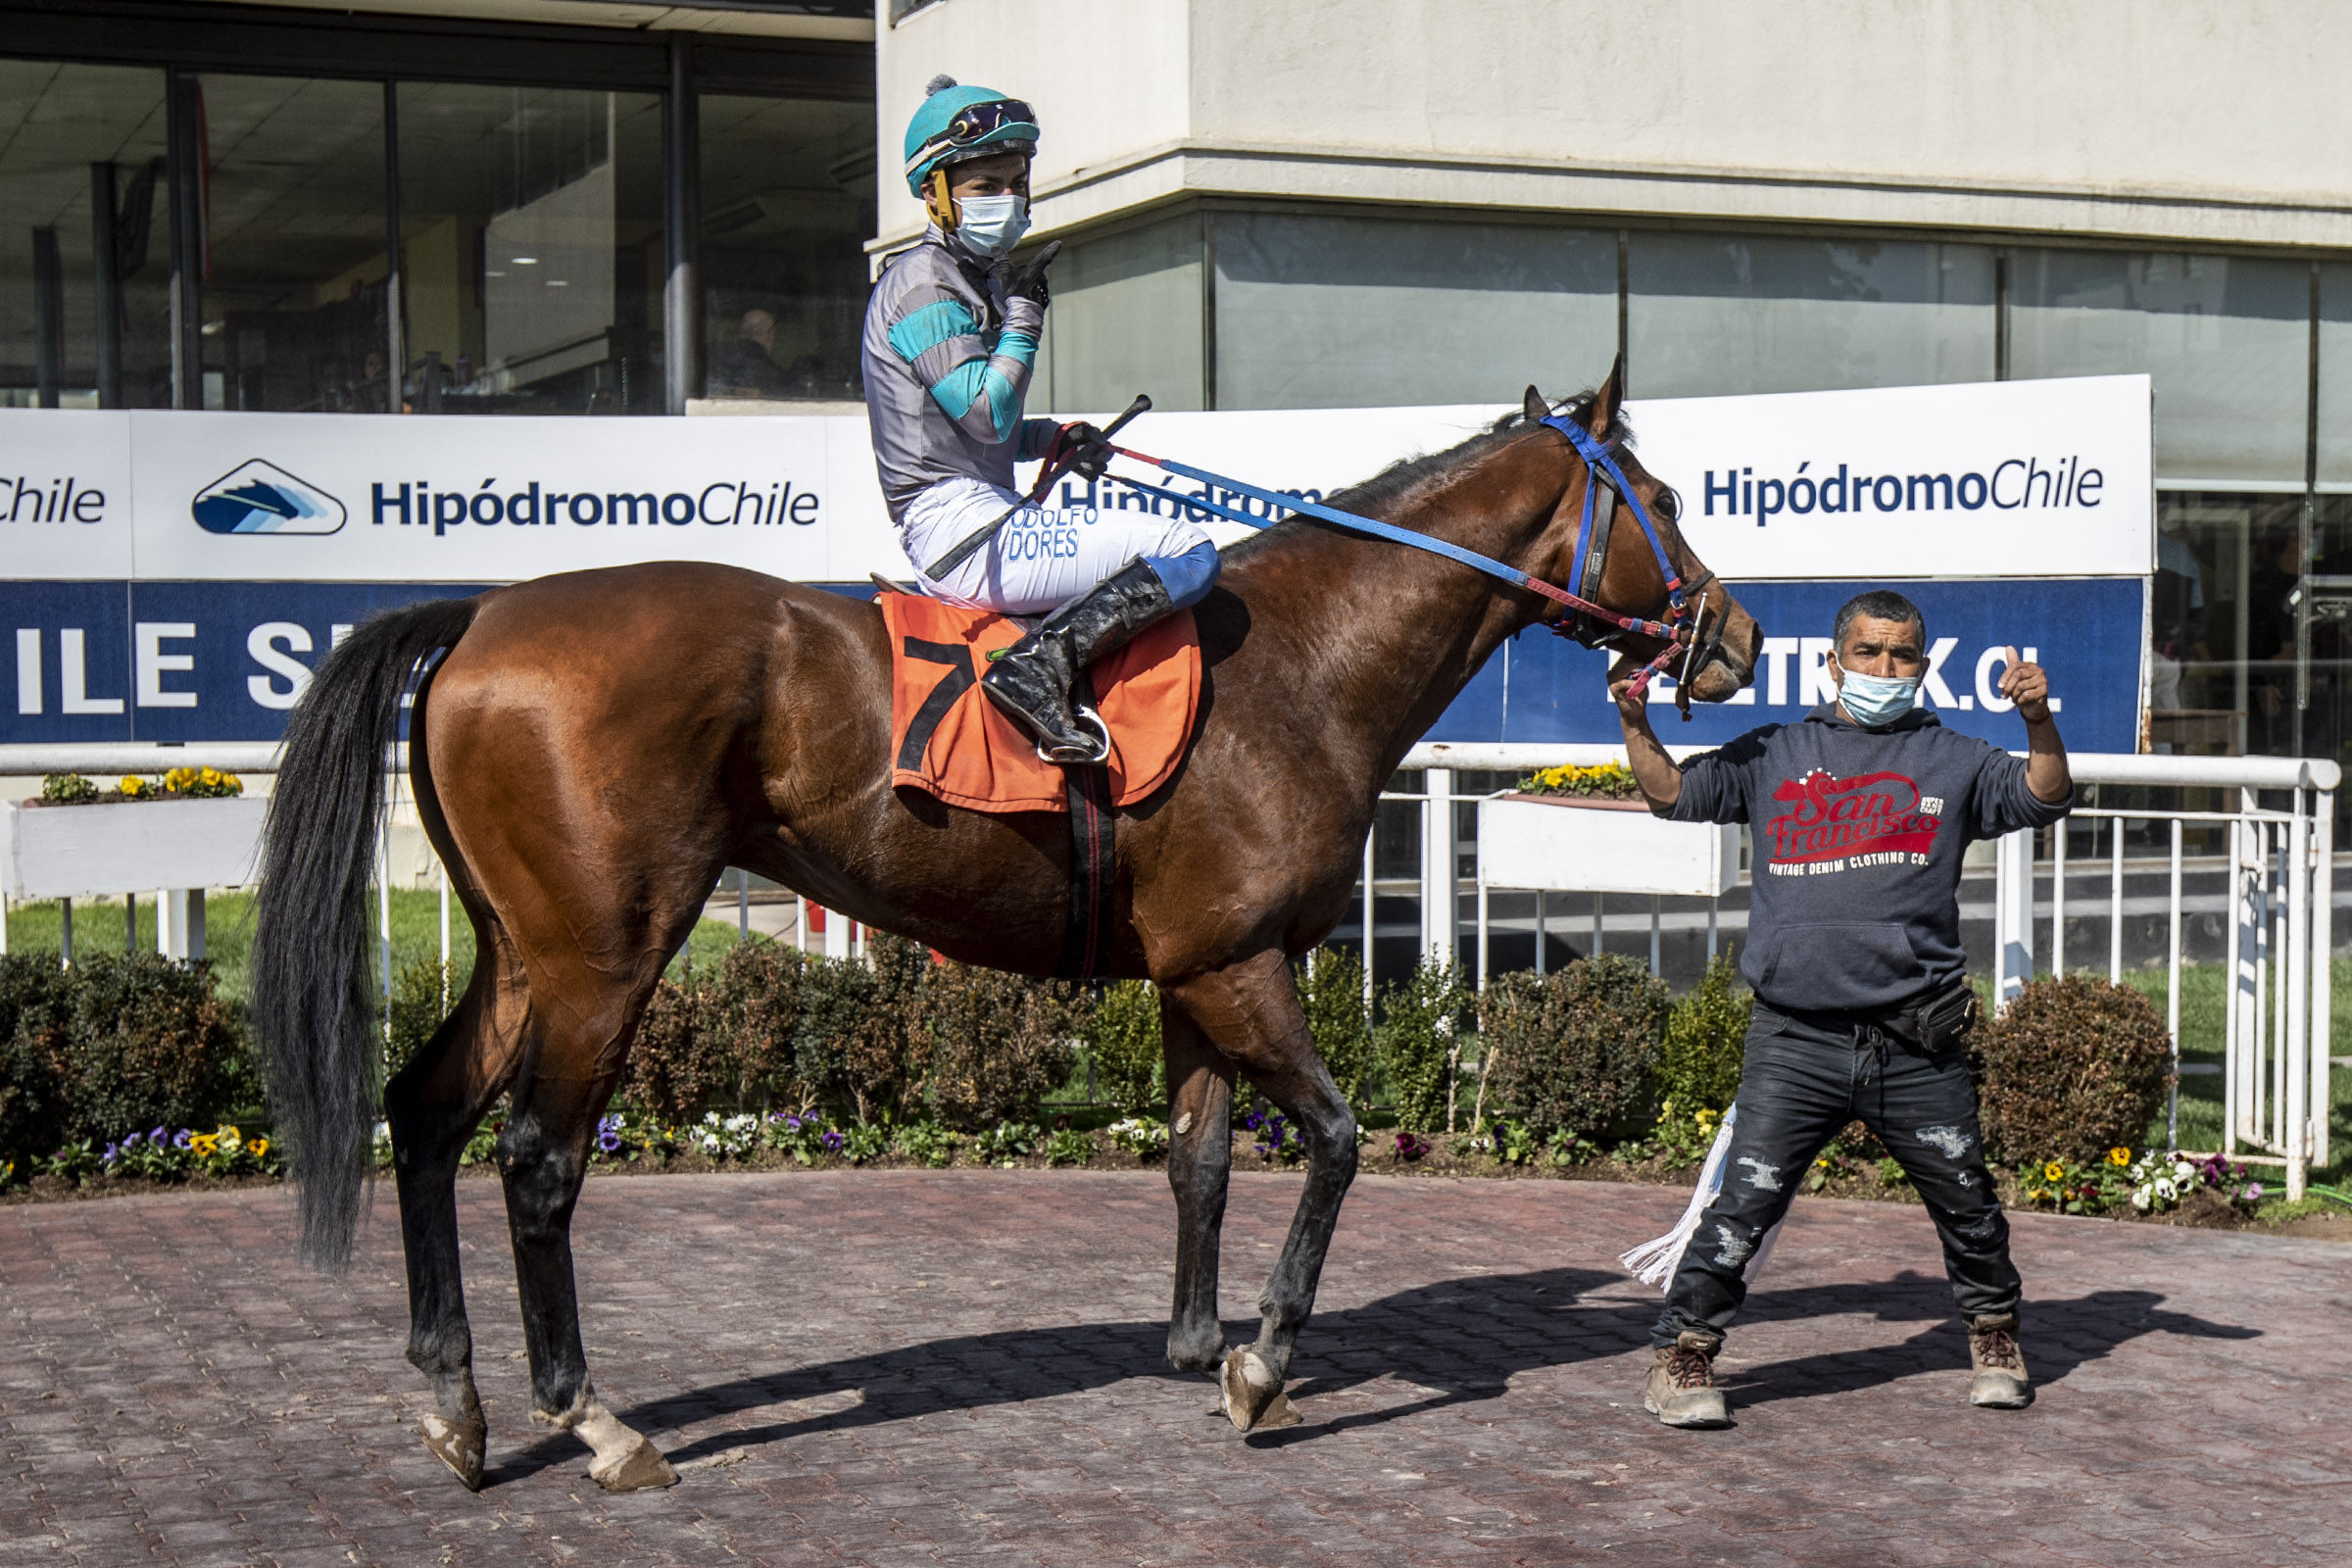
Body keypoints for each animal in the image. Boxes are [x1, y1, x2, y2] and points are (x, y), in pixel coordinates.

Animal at [250, 366, 1761, 1492]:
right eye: (1663, 501)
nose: (1735, 639)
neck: (1305, 666)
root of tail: (484, 611)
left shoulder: (1191, 975)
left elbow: (1201, 1162)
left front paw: (1195, 1341)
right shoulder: (1242, 965)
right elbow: (1333, 1144)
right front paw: (1263, 1362)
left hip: (522, 951)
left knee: (425, 1113)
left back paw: (456, 1404)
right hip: (603, 959)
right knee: (535, 1159)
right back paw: (593, 1418)